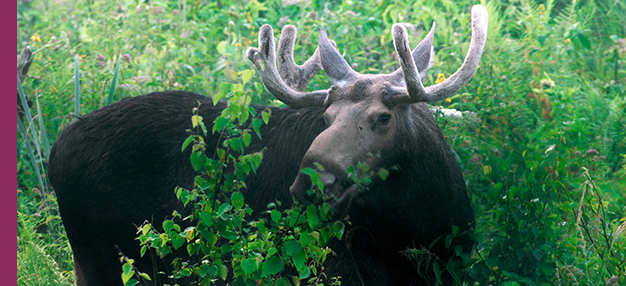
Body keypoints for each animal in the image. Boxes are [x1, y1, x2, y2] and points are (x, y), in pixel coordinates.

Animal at [48, 5, 488, 286]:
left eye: (384, 117)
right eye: (326, 117)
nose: (310, 182)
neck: (421, 222)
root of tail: (55, 151)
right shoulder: (339, 270)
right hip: (102, 260)